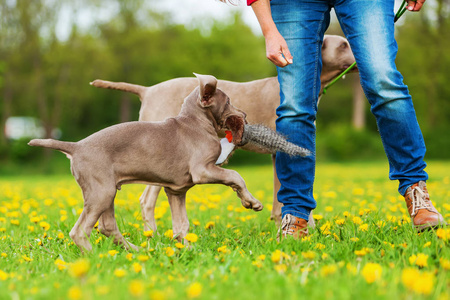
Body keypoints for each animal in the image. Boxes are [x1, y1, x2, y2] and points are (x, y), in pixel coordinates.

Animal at [29, 74, 264, 252]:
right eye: (228, 102)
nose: (244, 115)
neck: (195, 122)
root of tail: (76, 146)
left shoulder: (175, 191)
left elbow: (182, 224)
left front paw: (187, 250)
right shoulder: (203, 170)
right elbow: (235, 175)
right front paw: (252, 202)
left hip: (106, 191)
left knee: (106, 226)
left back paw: (134, 250)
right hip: (101, 191)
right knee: (80, 231)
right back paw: (94, 257)